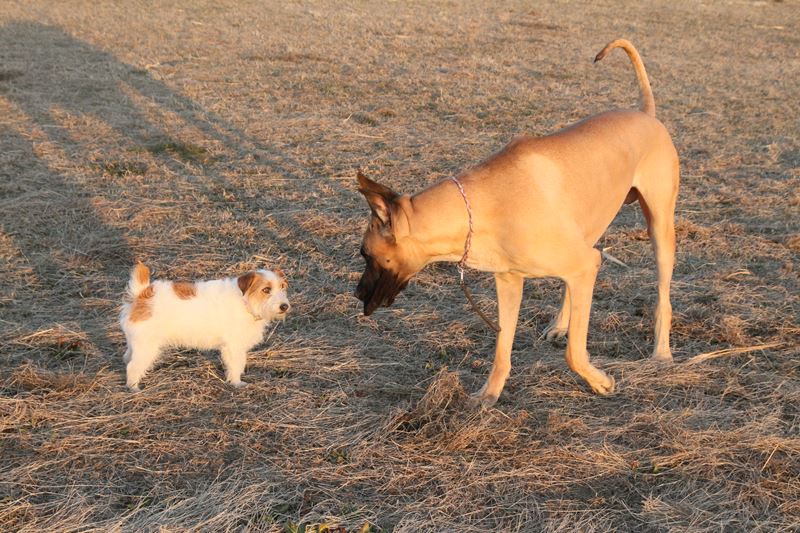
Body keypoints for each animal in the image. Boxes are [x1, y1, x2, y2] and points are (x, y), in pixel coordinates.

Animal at [120, 262, 290, 391]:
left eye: (283, 287)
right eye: (266, 290)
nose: (284, 306)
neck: (245, 301)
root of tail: (141, 294)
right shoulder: (233, 347)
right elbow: (236, 364)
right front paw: (236, 383)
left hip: (137, 343)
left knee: (127, 357)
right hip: (147, 347)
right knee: (133, 367)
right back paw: (134, 388)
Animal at [355, 39, 679, 406]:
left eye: (366, 254)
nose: (356, 294)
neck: (483, 207)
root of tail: (645, 113)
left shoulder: (580, 266)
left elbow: (574, 353)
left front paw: (599, 381)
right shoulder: (509, 281)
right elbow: (502, 346)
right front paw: (489, 393)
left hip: (659, 229)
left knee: (662, 295)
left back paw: (661, 353)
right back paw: (561, 324)